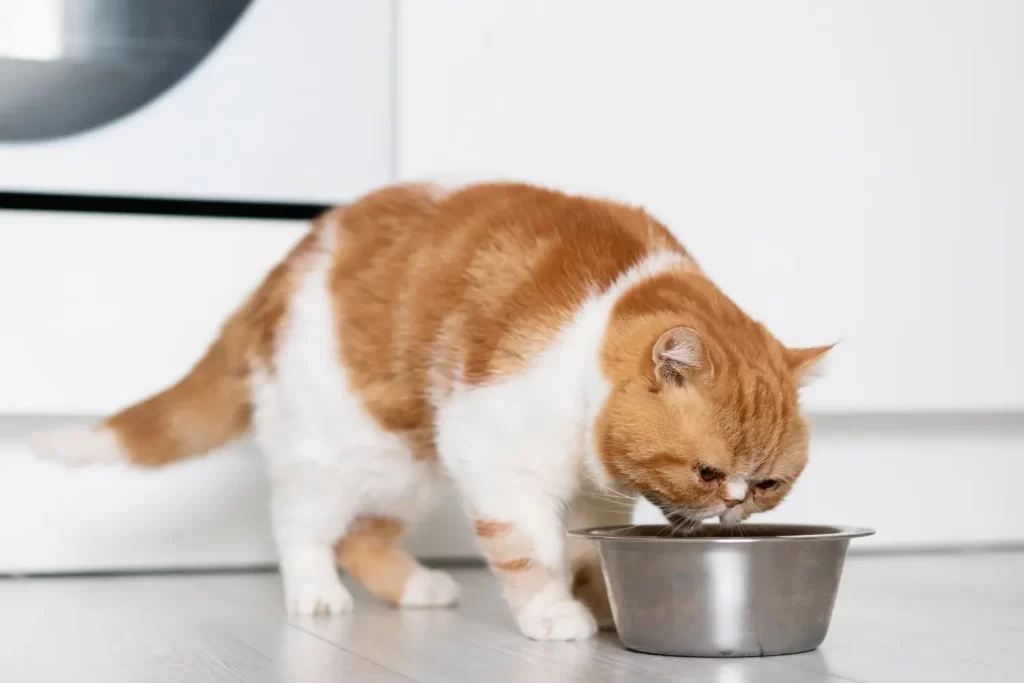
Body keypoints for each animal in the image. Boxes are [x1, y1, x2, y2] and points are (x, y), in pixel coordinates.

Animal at [29, 181, 831, 643]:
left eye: (768, 485)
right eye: (708, 472)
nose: (733, 507)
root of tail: (287, 263)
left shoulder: (593, 493)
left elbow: (580, 547)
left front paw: (600, 598)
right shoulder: (499, 460)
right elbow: (531, 549)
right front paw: (554, 615)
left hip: (409, 466)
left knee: (363, 538)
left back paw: (418, 587)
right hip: (345, 452)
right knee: (301, 525)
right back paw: (316, 594)